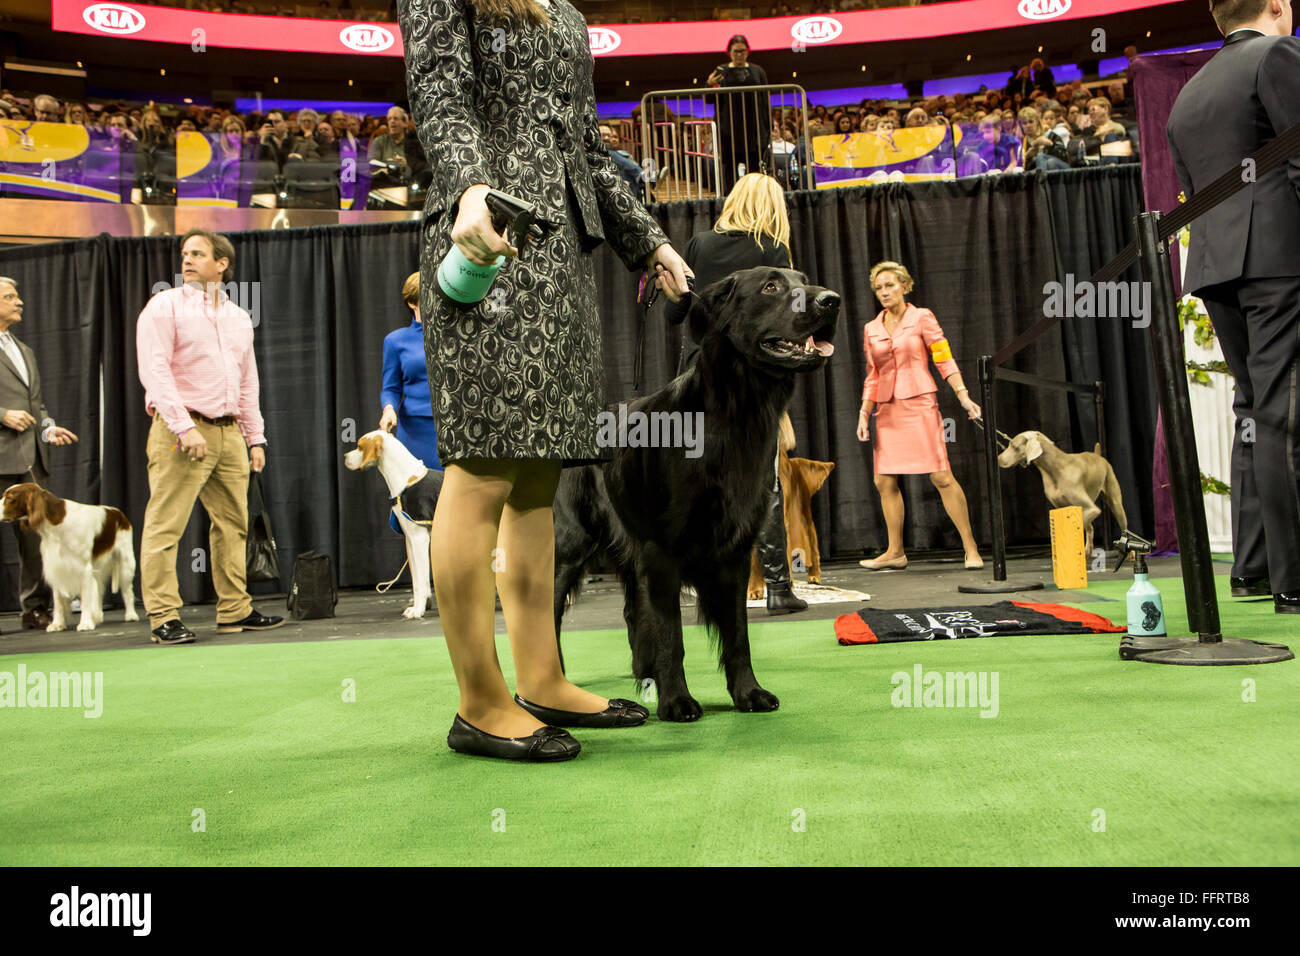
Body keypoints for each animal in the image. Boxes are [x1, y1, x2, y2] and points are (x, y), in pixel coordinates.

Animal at [0, 481, 139, 632]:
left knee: (127, 590)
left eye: (10, 498)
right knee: (100, 588)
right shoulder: (56, 566)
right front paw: (57, 624)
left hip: (126, 561)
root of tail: (118, 513)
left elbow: (86, 598)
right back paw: (98, 616)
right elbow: (58, 601)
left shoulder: (83, 568)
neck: (56, 524)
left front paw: (85, 623)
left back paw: (131, 615)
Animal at [343, 429, 444, 621]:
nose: (345, 457)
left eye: (359, 447)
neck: (406, 479)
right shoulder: (411, 540)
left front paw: (418, 611)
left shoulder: (420, 539)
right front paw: (416, 607)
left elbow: (422, 579)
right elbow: (416, 582)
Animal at [551, 265, 837, 723]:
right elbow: (671, 635)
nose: (832, 300)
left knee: (632, 613)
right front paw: (677, 701)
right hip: (568, 546)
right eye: (771, 286)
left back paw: (644, 678)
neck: (733, 416)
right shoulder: (661, 550)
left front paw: (748, 693)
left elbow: (737, 635)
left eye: (804, 279)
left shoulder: (734, 551)